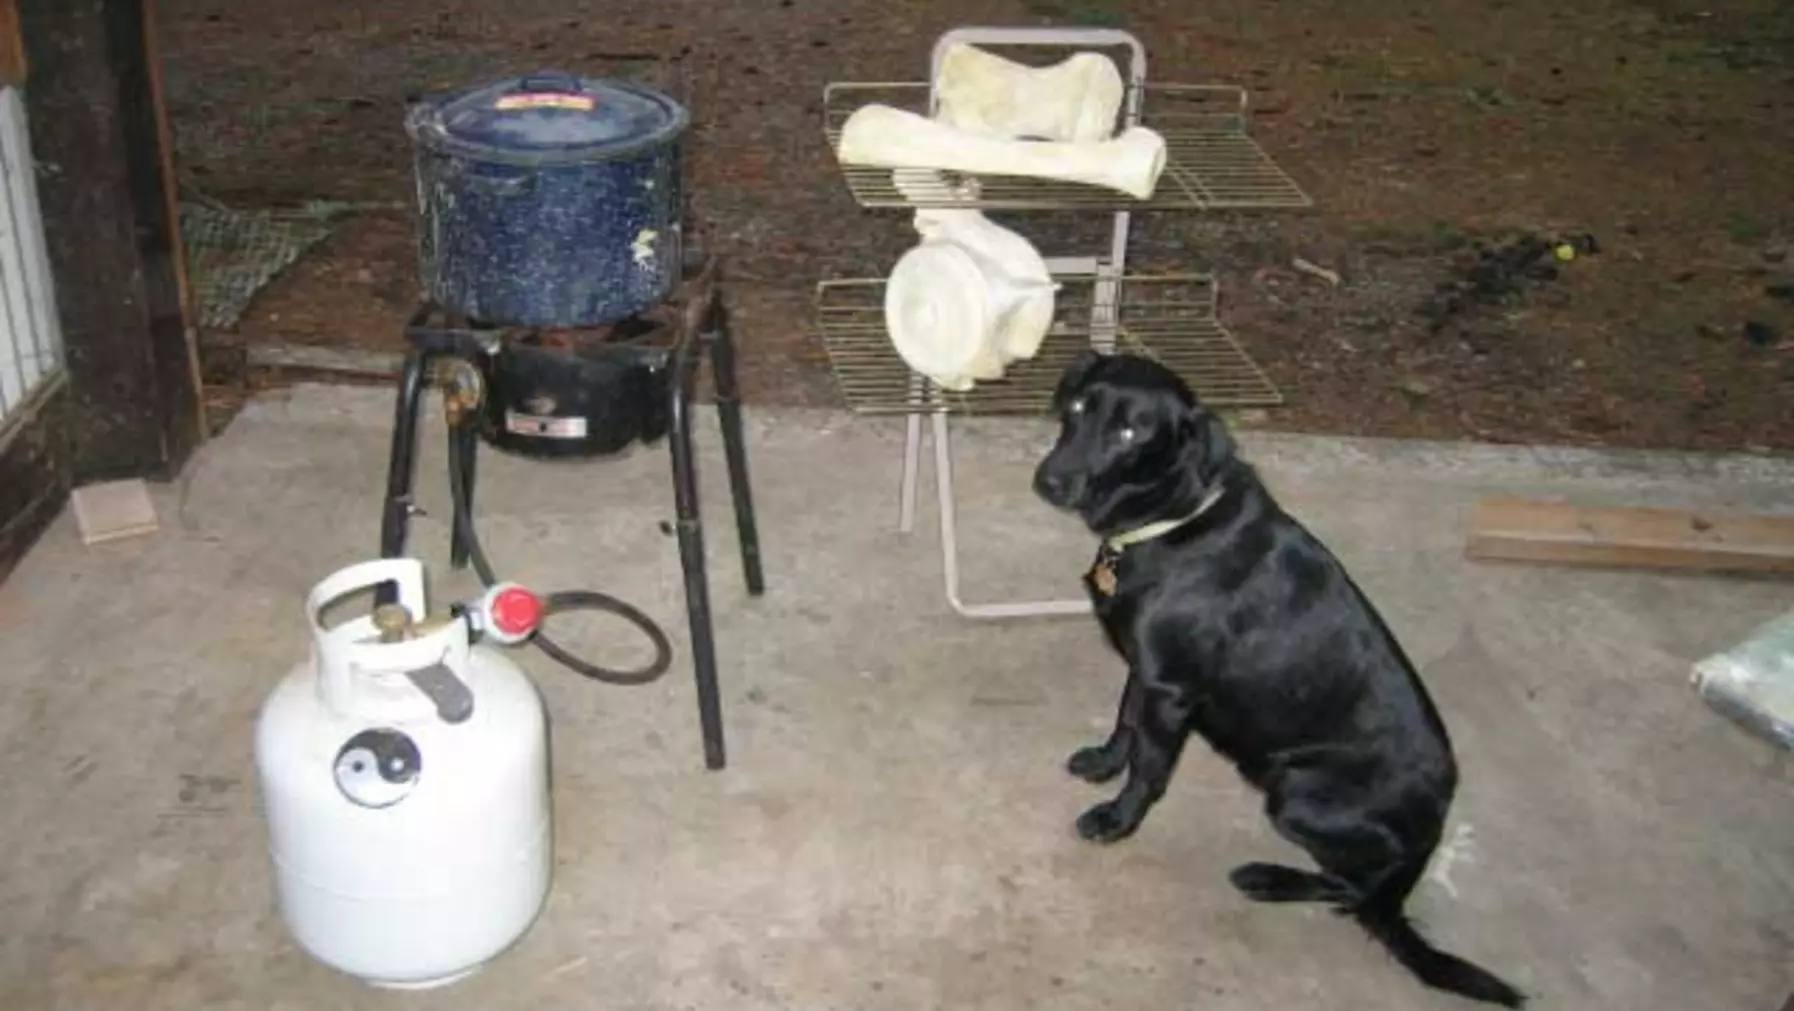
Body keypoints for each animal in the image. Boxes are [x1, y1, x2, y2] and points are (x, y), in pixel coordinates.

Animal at [1033, 349, 1521, 1011]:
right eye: (1081, 406)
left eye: (1131, 432)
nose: (1050, 481)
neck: (1173, 519)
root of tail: (1432, 833)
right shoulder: (1148, 671)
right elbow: (1124, 723)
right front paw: (1103, 764)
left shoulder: (1171, 690)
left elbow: (1150, 769)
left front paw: (1118, 820)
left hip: (1294, 791)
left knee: (1352, 896)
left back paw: (1265, 878)